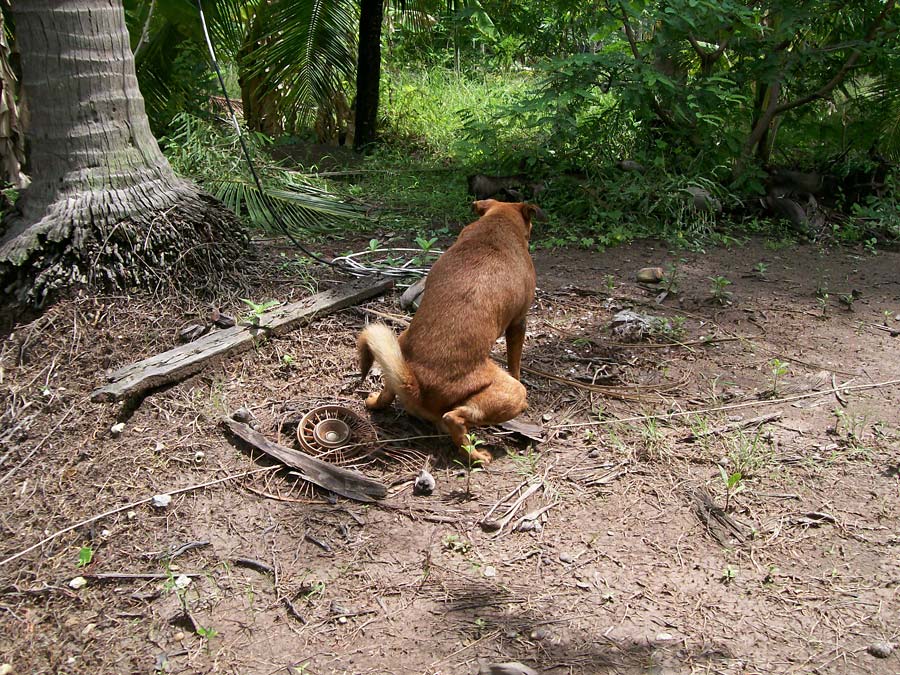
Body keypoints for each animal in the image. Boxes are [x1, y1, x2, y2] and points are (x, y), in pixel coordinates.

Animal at [356, 199, 540, 464]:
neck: (497, 223)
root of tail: (416, 386)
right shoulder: (518, 322)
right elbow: (515, 363)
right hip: (513, 393)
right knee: (453, 419)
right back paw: (477, 455)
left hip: (397, 349)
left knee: (388, 393)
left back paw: (374, 402)